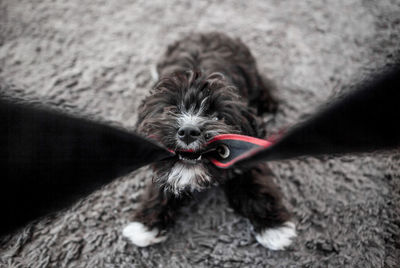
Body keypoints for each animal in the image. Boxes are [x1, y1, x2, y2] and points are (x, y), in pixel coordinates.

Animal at [122, 32, 296, 250]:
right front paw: (145, 225)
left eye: (217, 116)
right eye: (171, 110)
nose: (188, 131)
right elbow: (160, 184)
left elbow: (255, 183)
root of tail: (208, 33)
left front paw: (275, 228)